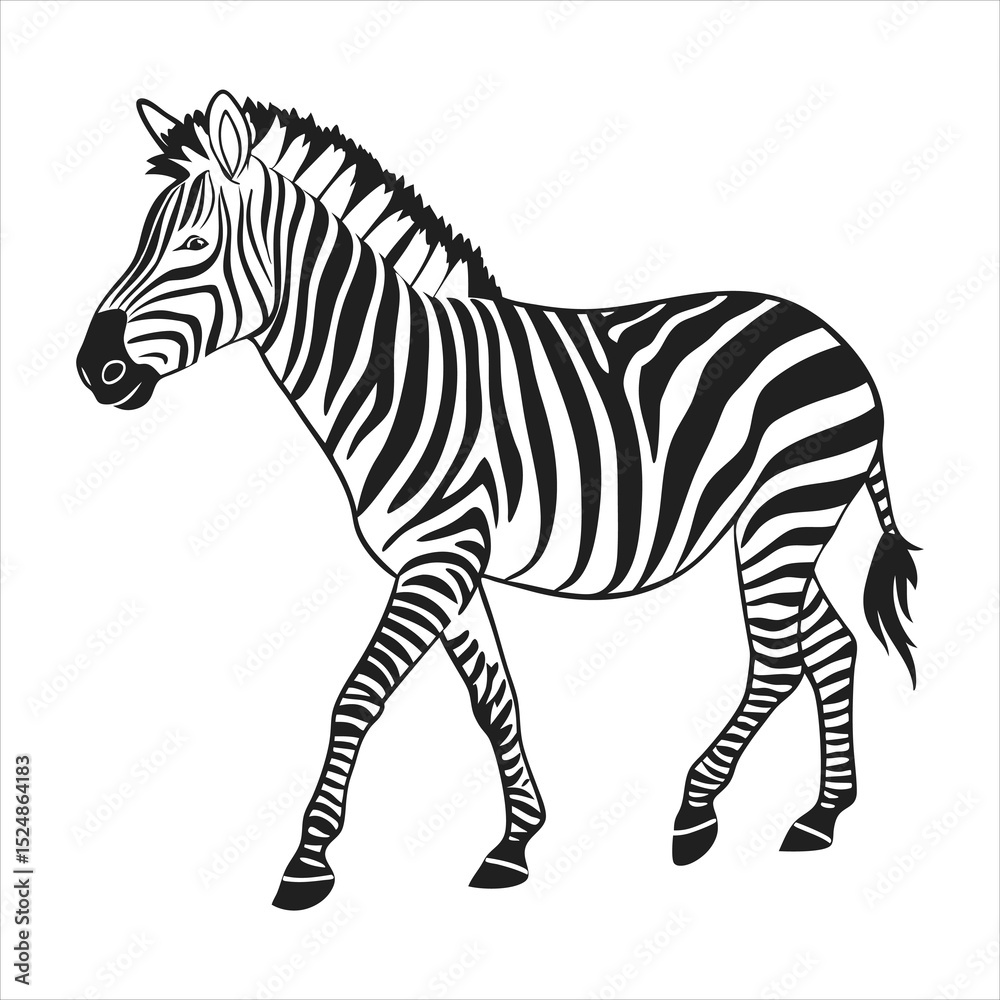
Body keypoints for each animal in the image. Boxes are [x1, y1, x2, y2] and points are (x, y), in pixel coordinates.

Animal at [76, 92, 919, 911]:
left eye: (193, 246)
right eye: (141, 241)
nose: (94, 368)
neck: (396, 375)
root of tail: (836, 342)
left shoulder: (440, 558)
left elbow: (358, 696)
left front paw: (309, 863)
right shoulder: (447, 564)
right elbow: (494, 699)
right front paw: (516, 842)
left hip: (786, 511)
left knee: (778, 662)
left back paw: (697, 812)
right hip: (778, 524)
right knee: (831, 644)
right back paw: (820, 815)